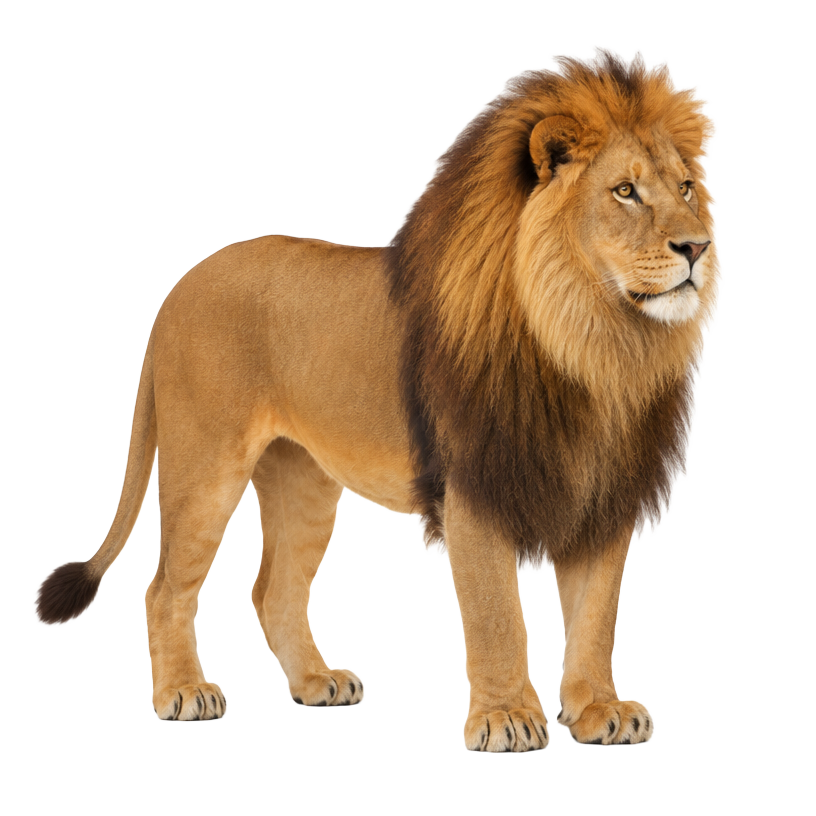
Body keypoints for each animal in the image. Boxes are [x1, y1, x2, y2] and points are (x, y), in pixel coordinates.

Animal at [34, 46, 720, 750]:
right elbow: (497, 615)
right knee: (167, 586)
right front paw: (506, 717)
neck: (595, 343)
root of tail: (176, 291)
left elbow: (596, 615)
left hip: (304, 478)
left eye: (685, 188)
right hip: (206, 464)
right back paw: (183, 691)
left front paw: (596, 709)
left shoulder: (604, 490)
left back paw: (316, 684)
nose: (698, 245)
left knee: (273, 592)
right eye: (625, 191)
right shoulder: (474, 489)